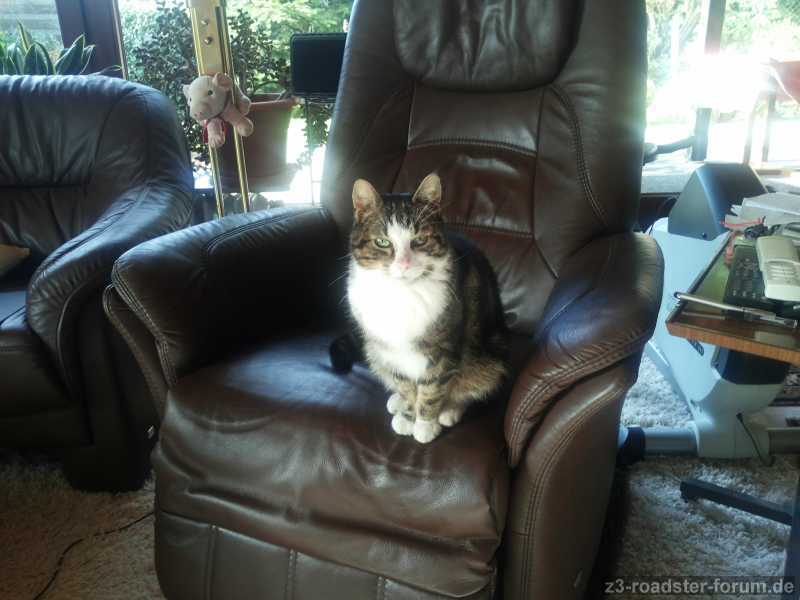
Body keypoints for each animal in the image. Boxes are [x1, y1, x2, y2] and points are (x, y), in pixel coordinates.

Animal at [339, 172, 508, 443]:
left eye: (419, 240)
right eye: (382, 242)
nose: (404, 264)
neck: (401, 294)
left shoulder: (444, 349)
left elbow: (433, 388)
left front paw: (425, 424)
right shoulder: (389, 351)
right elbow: (405, 384)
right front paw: (408, 415)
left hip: (490, 355)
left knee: (472, 383)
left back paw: (450, 410)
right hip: (373, 350)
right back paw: (397, 401)